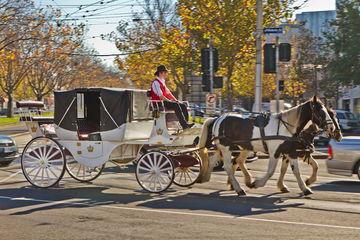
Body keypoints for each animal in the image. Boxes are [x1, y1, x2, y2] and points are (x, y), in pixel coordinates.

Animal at [198, 96, 336, 196]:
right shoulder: (275, 152)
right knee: (228, 165)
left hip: (228, 148)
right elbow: (271, 171)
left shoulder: (291, 151)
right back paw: (239, 188)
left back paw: (206, 178)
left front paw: (305, 188)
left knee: (217, 160)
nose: (331, 128)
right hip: (226, 148)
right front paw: (257, 183)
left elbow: (295, 171)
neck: (286, 127)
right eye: (320, 111)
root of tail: (217, 118)